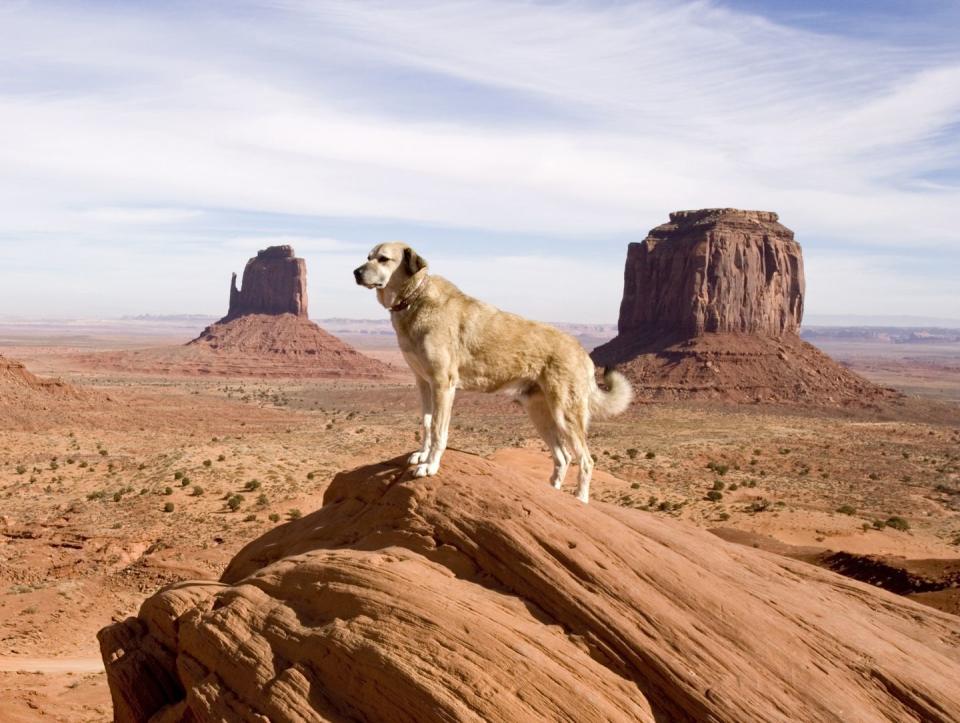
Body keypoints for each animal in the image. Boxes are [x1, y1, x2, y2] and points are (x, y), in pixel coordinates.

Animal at [352, 243, 632, 504]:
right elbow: (427, 423)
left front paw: (430, 466)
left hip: (566, 413)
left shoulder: (443, 384)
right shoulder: (424, 382)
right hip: (540, 413)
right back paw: (553, 493)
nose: (356, 272)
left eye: (384, 259)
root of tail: (584, 353)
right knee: (563, 457)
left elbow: (440, 430)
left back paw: (580, 499)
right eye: (368, 257)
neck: (414, 299)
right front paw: (422, 454)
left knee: (586, 459)